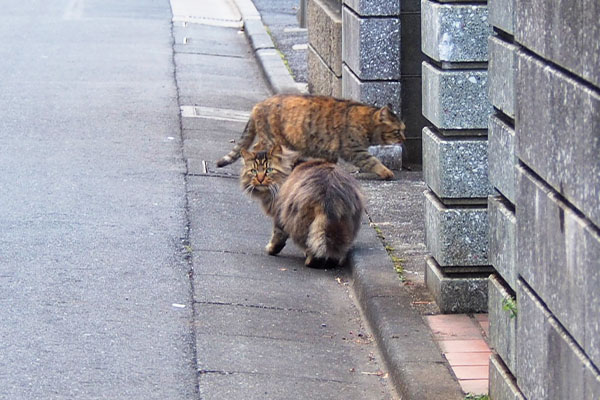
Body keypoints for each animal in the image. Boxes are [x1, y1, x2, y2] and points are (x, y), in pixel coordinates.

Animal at [218, 94, 406, 179]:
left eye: (404, 129)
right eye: (397, 131)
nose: (404, 139)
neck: (365, 121)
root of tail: (259, 105)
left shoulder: (330, 150)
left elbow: (330, 162)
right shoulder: (355, 151)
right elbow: (373, 161)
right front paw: (387, 172)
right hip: (273, 140)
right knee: (256, 149)